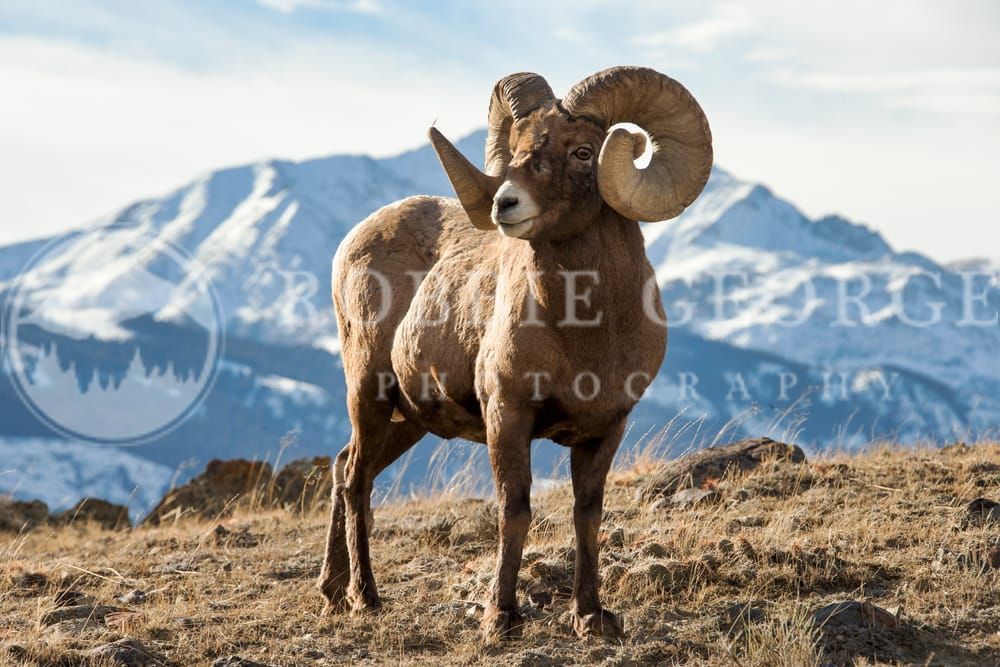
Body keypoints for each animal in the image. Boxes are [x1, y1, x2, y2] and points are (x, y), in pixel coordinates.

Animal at [317, 66, 712, 640]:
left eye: (583, 151)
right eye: (520, 147)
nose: (506, 204)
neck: (583, 334)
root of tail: (353, 241)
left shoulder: (606, 429)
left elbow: (587, 515)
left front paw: (590, 616)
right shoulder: (508, 415)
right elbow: (515, 510)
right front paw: (500, 618)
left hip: (409, 421)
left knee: (345, 466)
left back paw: (330, 592)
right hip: (369, 393)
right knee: (355, 479)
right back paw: (363, 598)